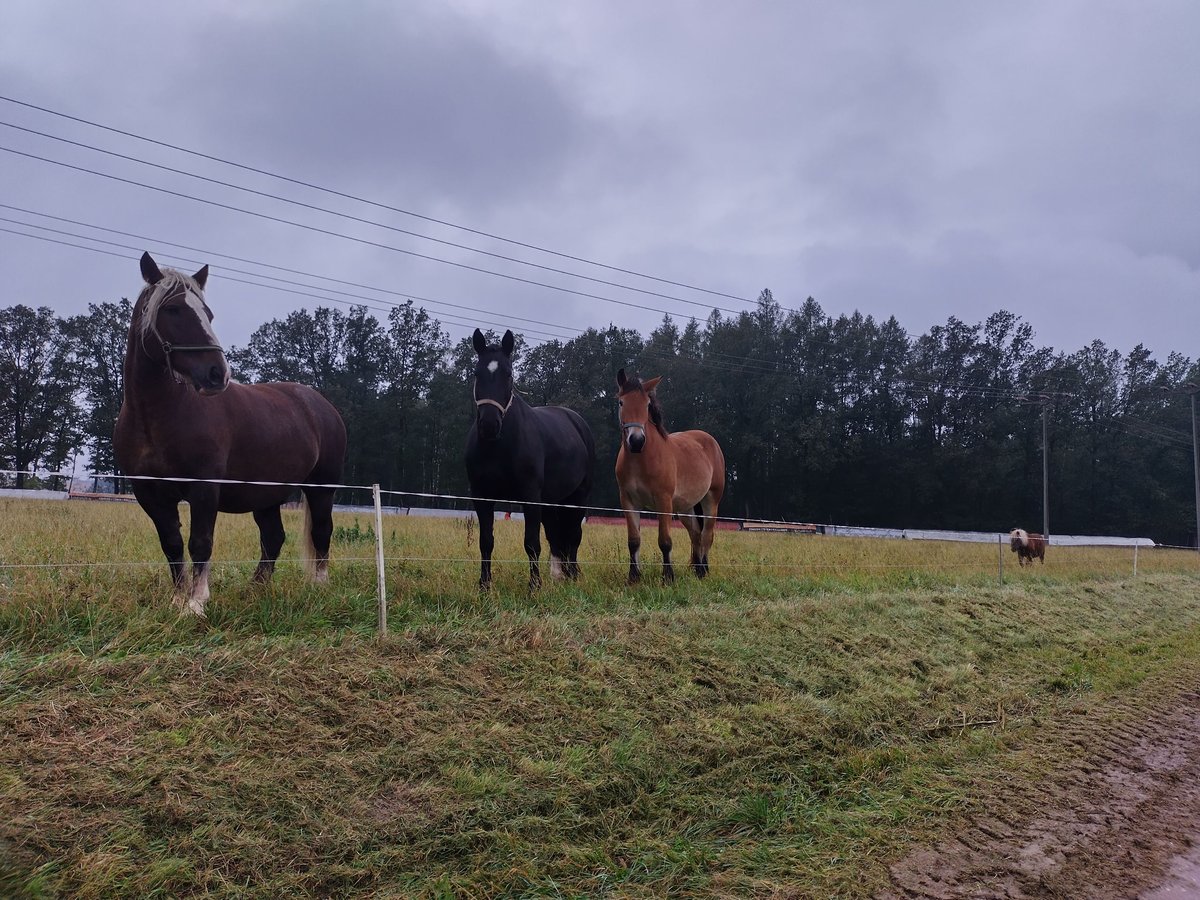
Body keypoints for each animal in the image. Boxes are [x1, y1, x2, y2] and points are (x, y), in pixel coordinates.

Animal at [114, 254, 348, 619]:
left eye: (207, 314)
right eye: (173, 310)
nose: (216, 374)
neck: (156, 415)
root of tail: (322, 405)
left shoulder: (204, 488)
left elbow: (200, 542)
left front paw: (196, 603)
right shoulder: (150, 494)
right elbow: (172, 544)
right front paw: (177, 599)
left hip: (321, 487)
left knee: (322, 532)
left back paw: (319, 587)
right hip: (266, 495)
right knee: (273, 537)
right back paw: (256, 589)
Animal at [463, 328, 595, 592]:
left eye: (509, 374)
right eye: (476, 373)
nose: (489, 425)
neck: (499, 446)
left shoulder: (530, 496)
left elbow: (532, 542)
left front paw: (534, 586)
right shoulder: (482, 497)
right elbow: (486, 541)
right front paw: (484, 585)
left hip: (577, 497)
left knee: (573, 535)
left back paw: (573, 574)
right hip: (552, 501)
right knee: (556, 535)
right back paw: (559, 574)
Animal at [619, 367, 720, 585]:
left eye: (647, 404)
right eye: (621, 402)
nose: (636, 441)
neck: (641, 458)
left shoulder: (663, 500)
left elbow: (665, 541)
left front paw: (668, 577)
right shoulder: (628, 501)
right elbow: (633, 541)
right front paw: (633, 577)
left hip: (711, 501)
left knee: (707, 535)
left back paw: (704, 571)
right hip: (685, 508)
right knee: (696, 535)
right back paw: (697, 570)